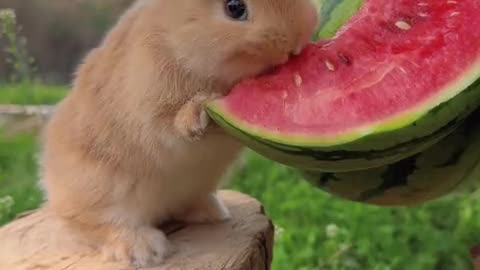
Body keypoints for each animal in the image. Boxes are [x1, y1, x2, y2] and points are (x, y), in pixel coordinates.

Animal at [40, 0, 318, 266]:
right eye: (235, 8)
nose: (297, 41)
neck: (174, 35)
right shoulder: (153, 114)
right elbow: (173, 128)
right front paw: (197, 113)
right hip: (102, 189)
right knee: (98, 224)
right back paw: (144, 249)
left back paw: (214, 212)